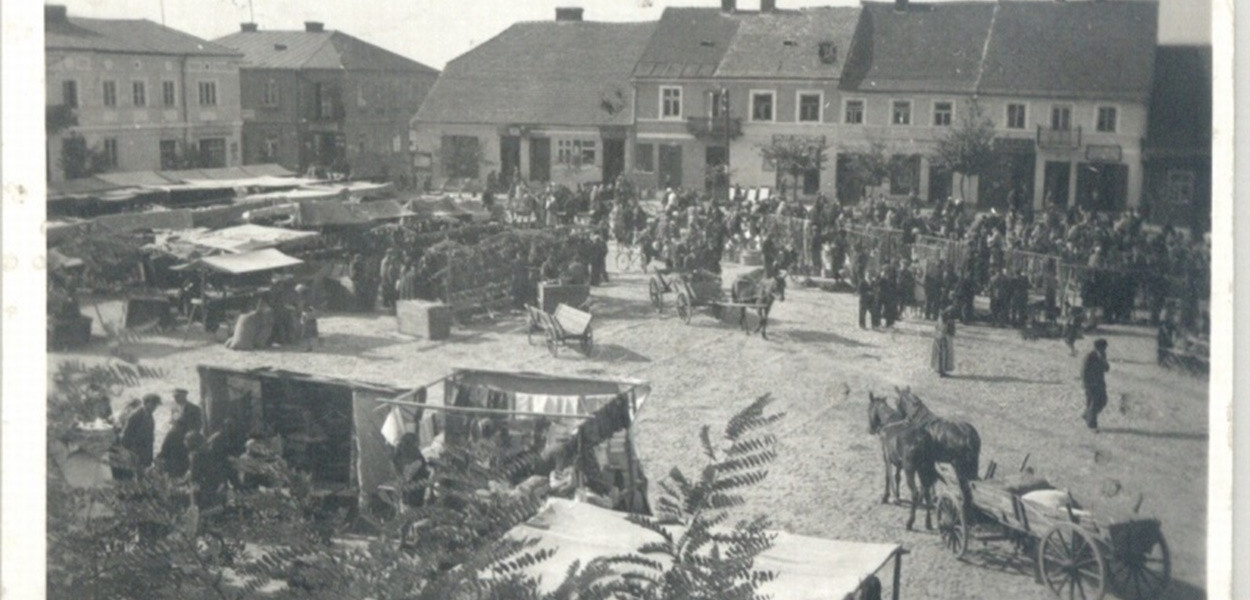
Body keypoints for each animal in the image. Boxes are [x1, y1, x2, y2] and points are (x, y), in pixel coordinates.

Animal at [870, 395, 940, 530]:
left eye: (869, 409)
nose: (871, 429)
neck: (890, 422)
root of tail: (922, 439)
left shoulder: (886, 458)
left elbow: (888, 477)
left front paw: (886, 497)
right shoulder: (898, 462)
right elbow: (897, 477)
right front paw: (897, 496)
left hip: (910, 471)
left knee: (915, 493)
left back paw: (910, 522)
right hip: (923, 471)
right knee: (927, 492)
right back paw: (928, 523)